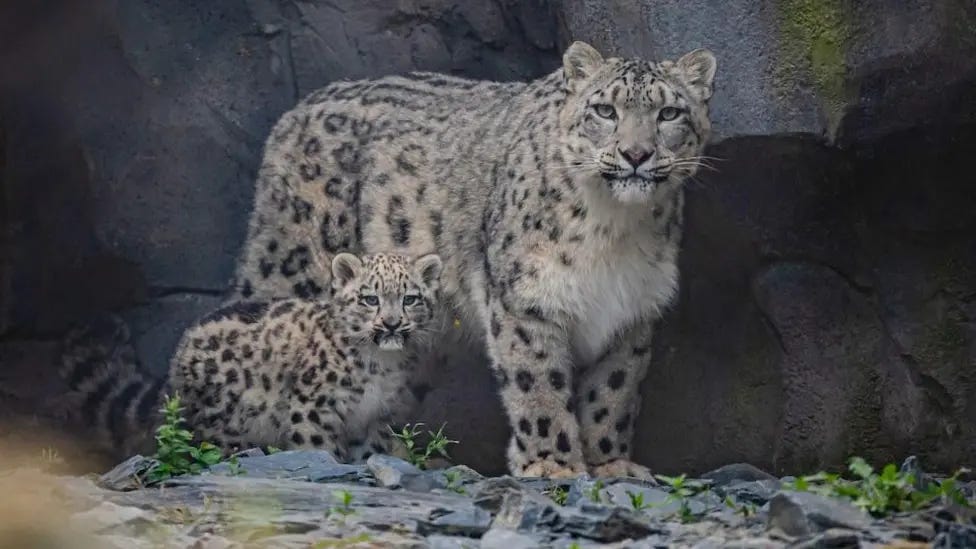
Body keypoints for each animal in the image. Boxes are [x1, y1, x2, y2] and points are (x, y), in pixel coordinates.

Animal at [57, 252, 444, 463]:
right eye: (370, 299)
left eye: (410, 298)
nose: (391, 324)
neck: (381, 365)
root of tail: (177, 360)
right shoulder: (313, 408)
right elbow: (318, 447)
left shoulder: (374, 418)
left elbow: (369, 453)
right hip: (225, 426)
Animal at [211, 41, 715, 479]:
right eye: (605, 111)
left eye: (669, 113)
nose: (636, 154)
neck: (614, 230)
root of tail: (297, 110)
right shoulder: (524, 299)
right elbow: (539, 385)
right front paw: (552, 464)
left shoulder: (633, 309)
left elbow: (612, 393)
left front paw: (611, 465)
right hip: (297, 269)